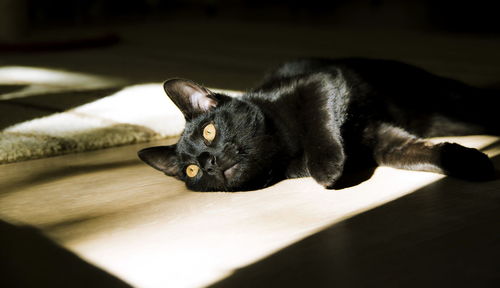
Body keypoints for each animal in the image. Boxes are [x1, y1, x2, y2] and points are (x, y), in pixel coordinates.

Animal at [138, 58, 500, 191]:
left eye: (209, 131)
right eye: (191, 171)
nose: (209, 163)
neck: (284, 150)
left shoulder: (320, 81)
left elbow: (319, 119)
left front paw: (327, 165)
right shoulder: (384, 140)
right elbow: (417, 154)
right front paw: (467, 161)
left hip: (454, 106)